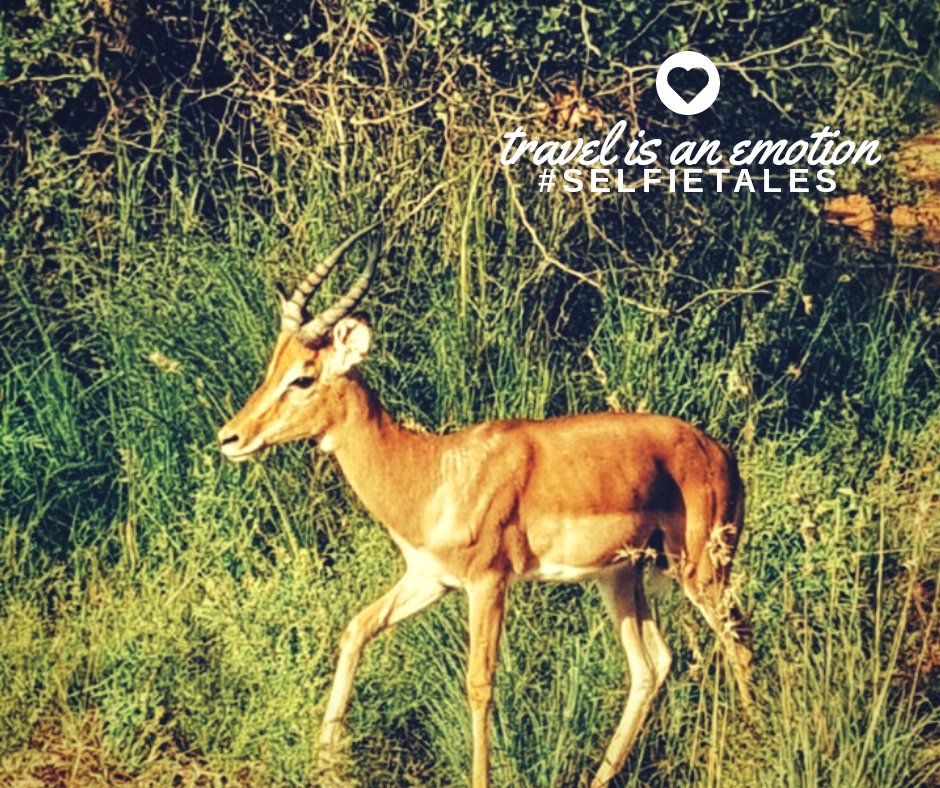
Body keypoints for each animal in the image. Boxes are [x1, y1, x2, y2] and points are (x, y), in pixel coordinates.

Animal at [217, 225, 753, 787]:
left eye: (303, 376)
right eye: (272, 366)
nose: (230, 437)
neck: (432, 473)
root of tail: (722, 452)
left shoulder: (488, 582)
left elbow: (479, 684)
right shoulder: (428, 579)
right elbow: (356, 629)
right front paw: (324, 763)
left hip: (701, 570)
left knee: (739, 642)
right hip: (619, 577)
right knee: (651, 665)